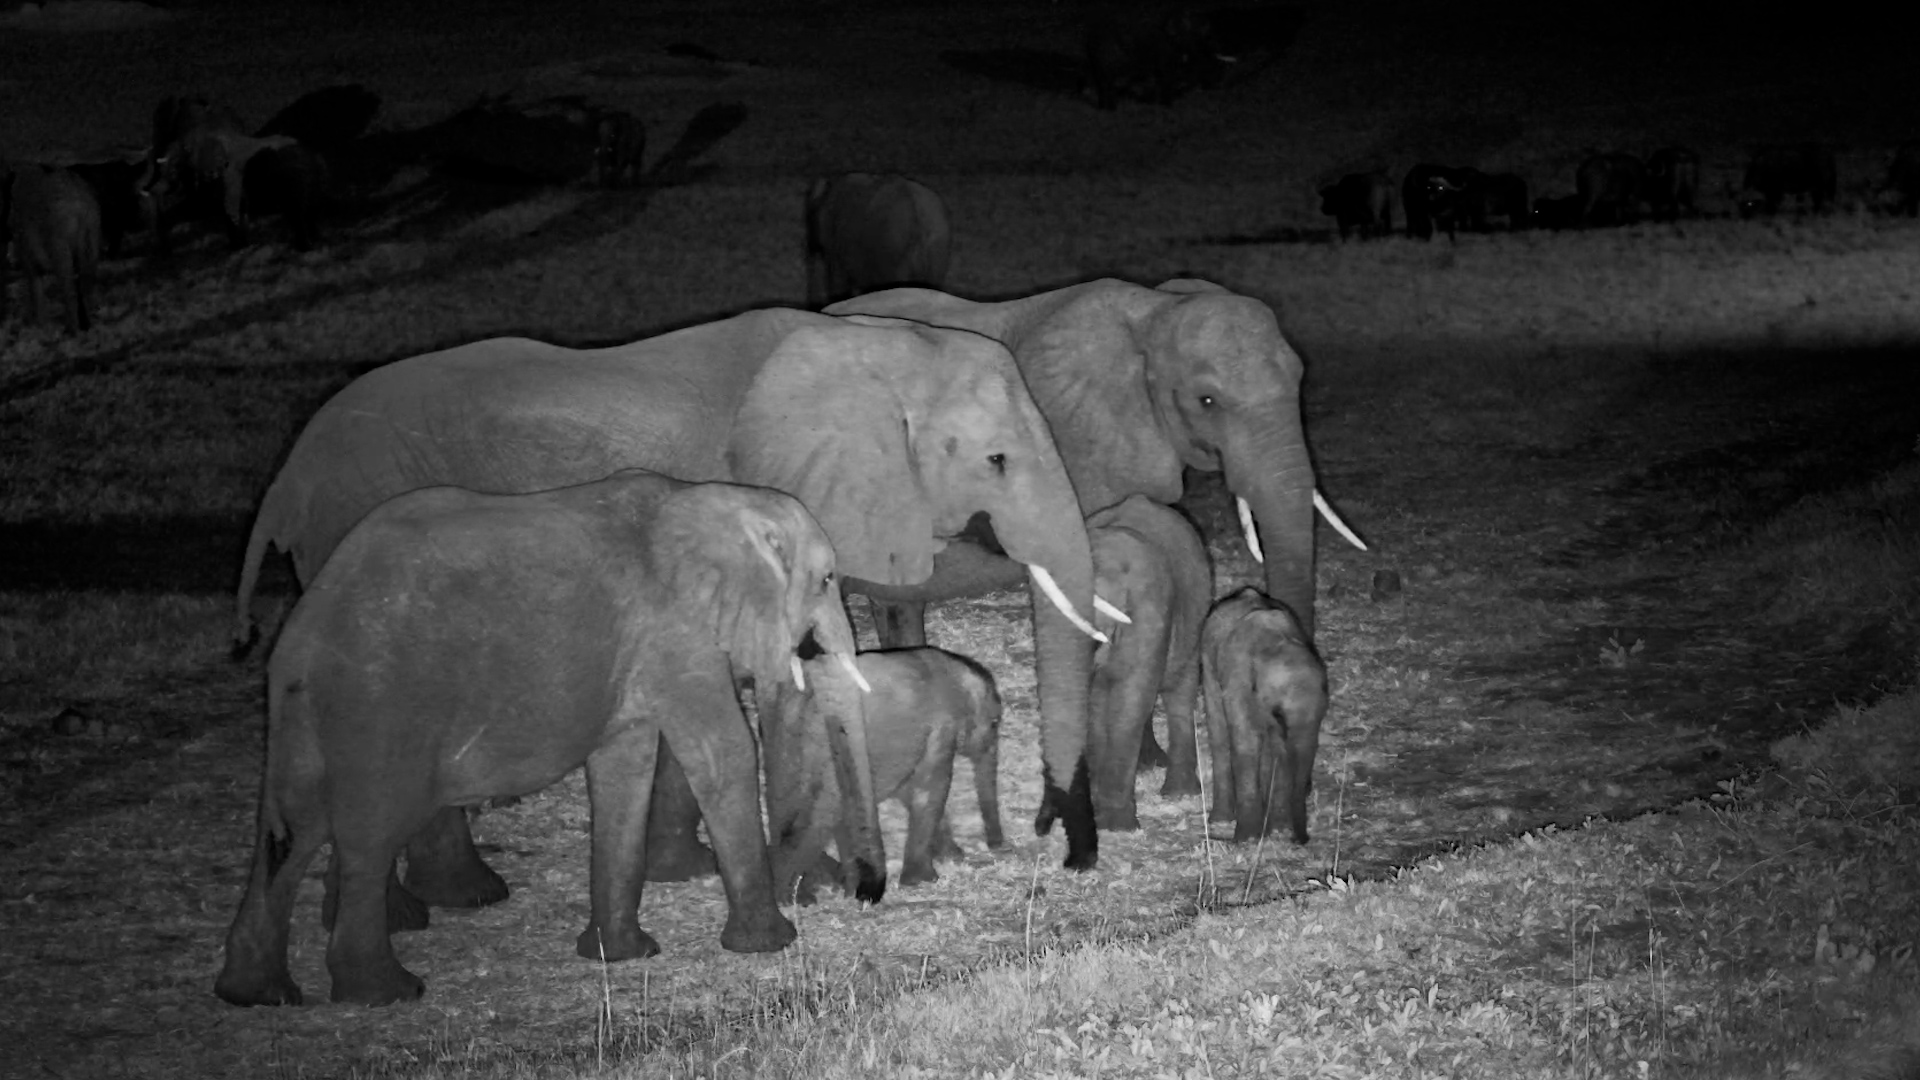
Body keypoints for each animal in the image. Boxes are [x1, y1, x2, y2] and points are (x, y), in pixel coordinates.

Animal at [1, 162, 101, 334]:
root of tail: (80, 206)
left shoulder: (26, 243)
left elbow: (34, 280)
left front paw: (40, 327)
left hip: (59, 238)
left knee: (68, 283)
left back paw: (71, 330)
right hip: (92, 232)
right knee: (86, 278)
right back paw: (88, 326)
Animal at [212, 471, 877, 1007]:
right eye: (826, 578)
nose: (862, 893)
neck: (715, 500)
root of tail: (305, 631)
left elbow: (624, 768)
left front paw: (621, 955)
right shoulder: (677, 633)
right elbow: (725, 753)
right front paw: (769, 945)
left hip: (303, 713)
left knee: (290, 829)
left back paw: (256, 996)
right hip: (379, 710)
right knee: (367, 837)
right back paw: (384, 994)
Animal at [776, 647, 1003, 902]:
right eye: (995, 723)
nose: (997, 845)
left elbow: (909, 790)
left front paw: (951, 857)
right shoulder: (942, 726)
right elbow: (930, 788)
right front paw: (924, 879)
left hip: (791, 747)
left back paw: (845, 890)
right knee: (823, 814)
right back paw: (790, 897)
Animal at [1082, 496, 1211, 829]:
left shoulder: (1151, 607)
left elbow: (1130, 693)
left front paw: (1116, 825)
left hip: (1193, 620)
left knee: (1179, 690)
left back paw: (1179, 792)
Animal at [1200, 586, 1326, 845]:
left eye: (1323, 713)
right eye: (1279, 713)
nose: (1301, 840)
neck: (1276, 645)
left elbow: (1279, 752)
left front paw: (1277, 831)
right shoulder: (1237, 679)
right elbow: (1246, 740)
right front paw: (1247, 839)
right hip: (1208, 662)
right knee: (1219, 732)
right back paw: (1220, 820)